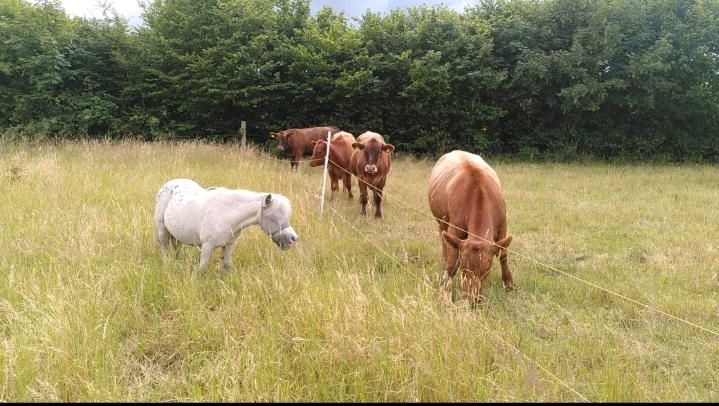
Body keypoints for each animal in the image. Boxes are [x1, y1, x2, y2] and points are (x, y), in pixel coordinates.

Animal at [155, 178, 298, 272]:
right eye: (274, 216)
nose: (293, 239)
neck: (227, 214)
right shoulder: (207, 246)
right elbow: (202, 268)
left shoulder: (229, 245)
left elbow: (226, 265)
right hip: (162, 229)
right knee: (164, 248)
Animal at [428, 151, 512, 302]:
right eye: (463, 267)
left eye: (487, 269)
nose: (473, 299)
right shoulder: (454, 229)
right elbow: (452, 264)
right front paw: (445, 291)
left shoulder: (503, 226)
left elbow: (503, 255)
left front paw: (509, 284)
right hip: (441, 223)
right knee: (444, 245)